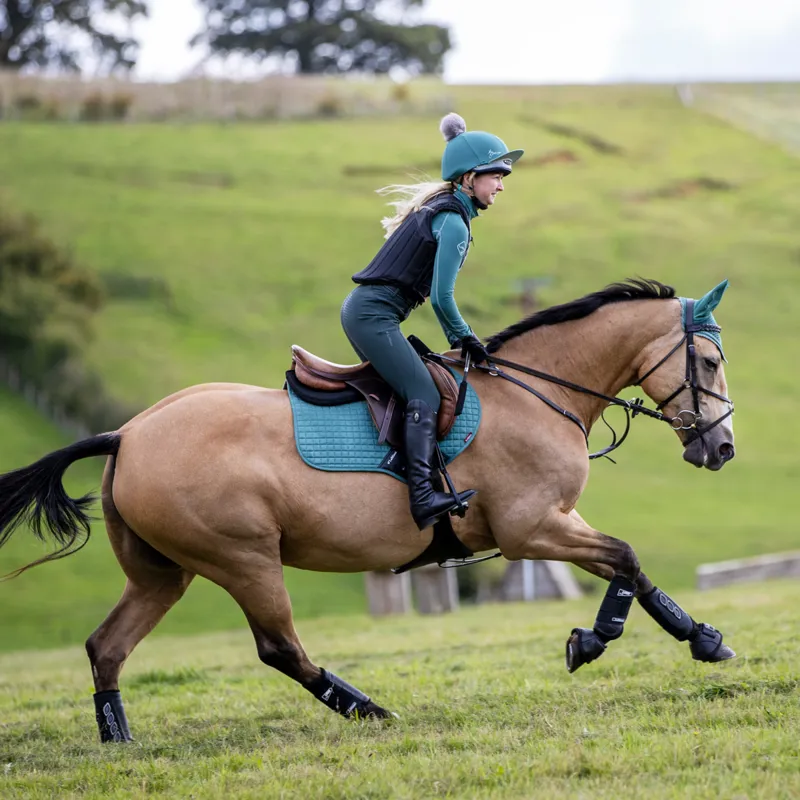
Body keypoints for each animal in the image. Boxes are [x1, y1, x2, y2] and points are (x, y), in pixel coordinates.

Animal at [0, 278, 736, 740]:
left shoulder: (556, 522)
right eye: (707, 360)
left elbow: (630, 568)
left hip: (161, 573)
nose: (723, 446)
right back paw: (368, 710)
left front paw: (677, 637)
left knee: (107, 647)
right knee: (279, 648)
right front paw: (622, 639)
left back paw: (118, 737)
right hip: (243, 558)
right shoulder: (531, 530)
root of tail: (127, 433)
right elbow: (626, 558)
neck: (537, 391)